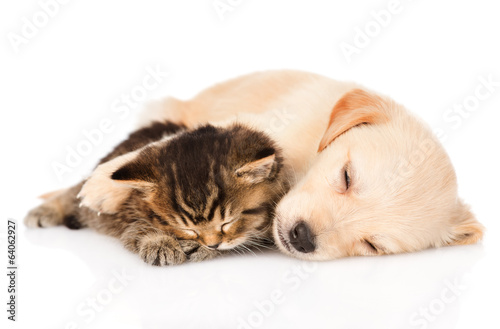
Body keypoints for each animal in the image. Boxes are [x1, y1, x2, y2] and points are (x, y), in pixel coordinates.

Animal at [24, 120, 290, 264]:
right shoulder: (128, 211)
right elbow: (138, 225)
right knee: (75, 194)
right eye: (187, 228)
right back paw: (43, 211)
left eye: (227, 222)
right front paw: (159, 242)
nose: (212, 245)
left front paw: (202, 250)